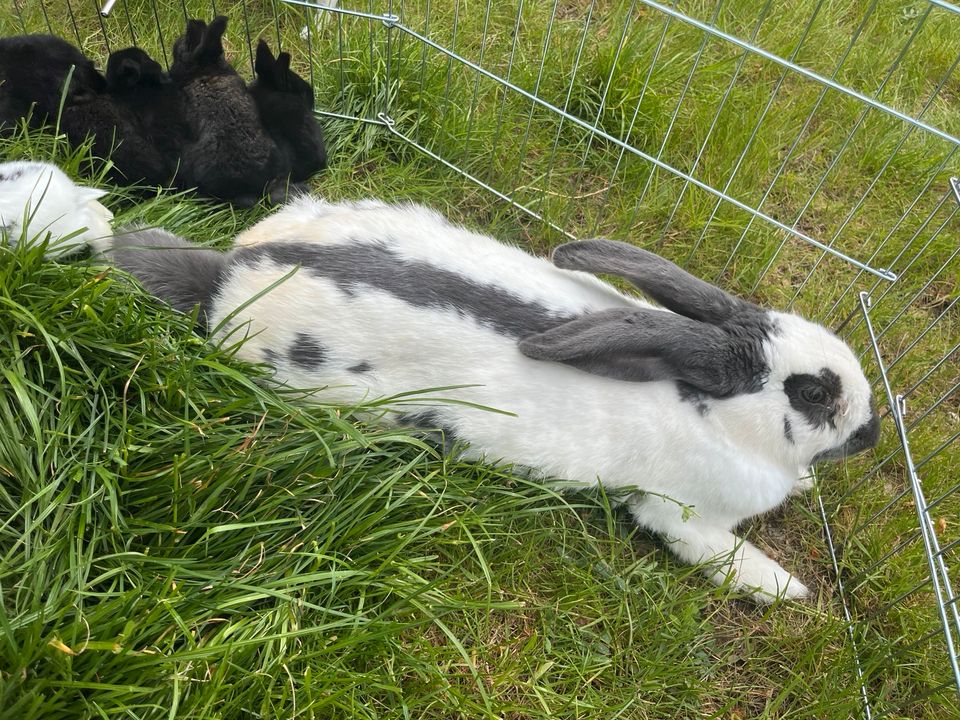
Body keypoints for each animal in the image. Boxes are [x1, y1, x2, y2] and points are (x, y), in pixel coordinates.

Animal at [101, 193, 880, 600]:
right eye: (813, 393)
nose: (873, 431)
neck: (712, 409)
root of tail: (228, 278)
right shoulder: (682, 515)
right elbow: (720, 553)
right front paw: (789, 589)